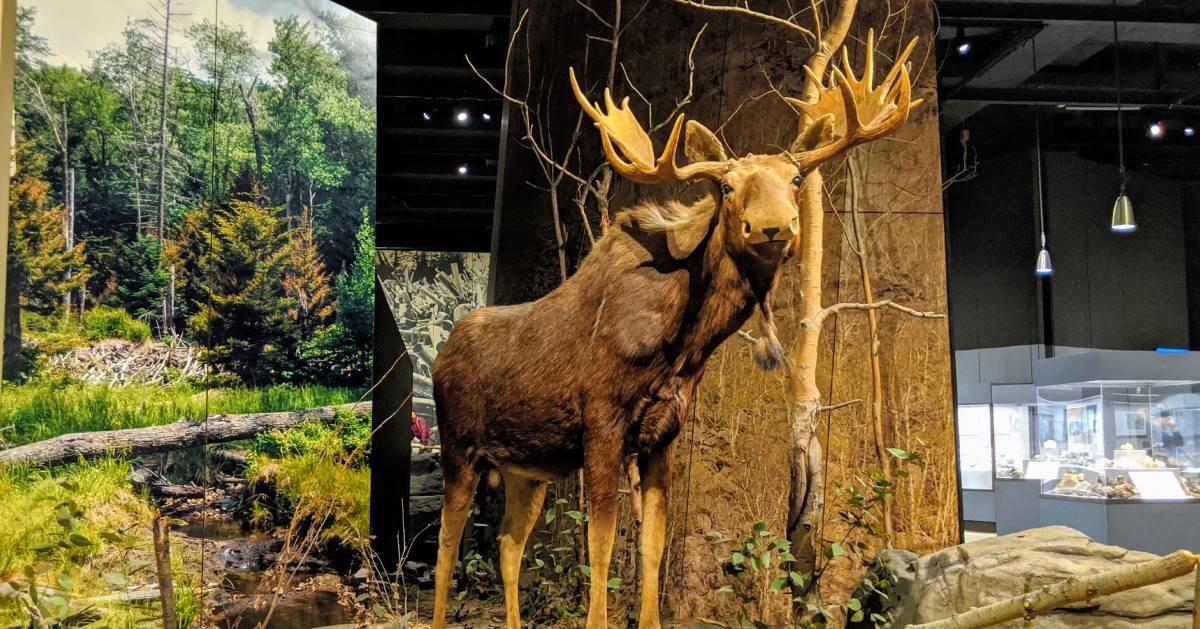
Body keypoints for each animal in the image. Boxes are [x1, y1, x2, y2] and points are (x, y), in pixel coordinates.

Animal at [432, 30, 916, 629]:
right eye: (727, 187)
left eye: (796, 178)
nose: (772, 227)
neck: (683, 346)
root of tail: (439, 354)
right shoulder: (602, 426)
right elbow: (602, 548)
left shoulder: (662, 434)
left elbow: (653, 547)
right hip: (459, 447)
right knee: (446, 549)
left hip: (527, 468)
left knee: (507, 545)